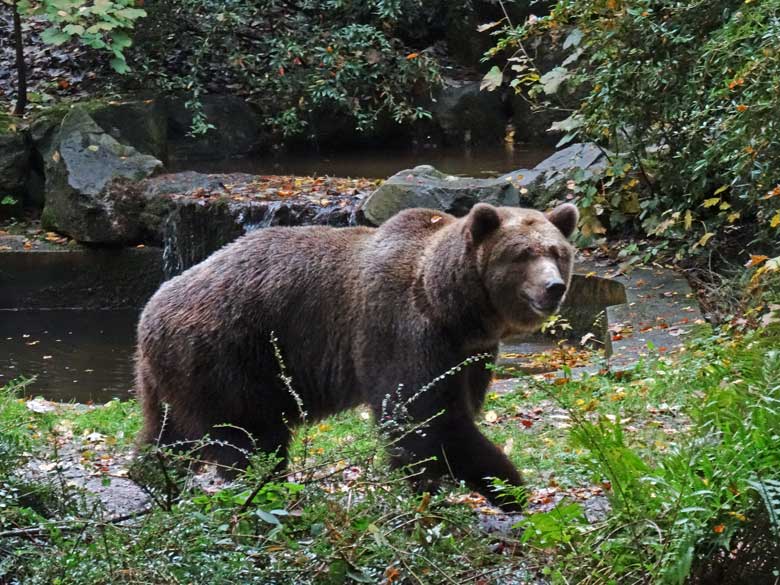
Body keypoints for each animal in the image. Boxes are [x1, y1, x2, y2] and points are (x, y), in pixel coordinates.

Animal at [134, 203, 576, 508]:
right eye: (522, 254)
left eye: (558, 252)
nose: (553, 287)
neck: (451, 307)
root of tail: (150, 308)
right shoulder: (402, 329)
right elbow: (423, 420)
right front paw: (504, 485)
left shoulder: (470, 354)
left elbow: (449, 412)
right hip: (231, 353)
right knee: (248, 435)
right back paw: (262, 490)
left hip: (172, 373)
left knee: (166, 431)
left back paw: (150, 475)